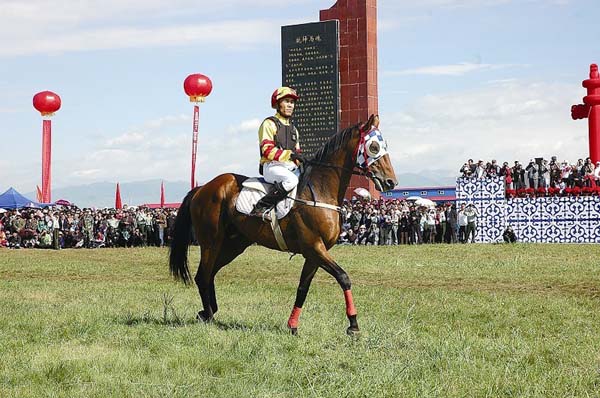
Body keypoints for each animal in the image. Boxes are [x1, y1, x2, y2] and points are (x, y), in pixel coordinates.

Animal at [170, 113, 398, 334]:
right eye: (374, 147)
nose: (391, 182)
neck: (320, 190)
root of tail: (202, 188)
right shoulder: (314, 247)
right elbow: (343, 277)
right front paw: (353, 324)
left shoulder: (314, 254)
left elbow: (303, 288)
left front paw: (293, 325)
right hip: (211, 242)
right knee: (202, 276)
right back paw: (208, 315)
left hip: (233, 245)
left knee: (210, 274)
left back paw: (208, 311)